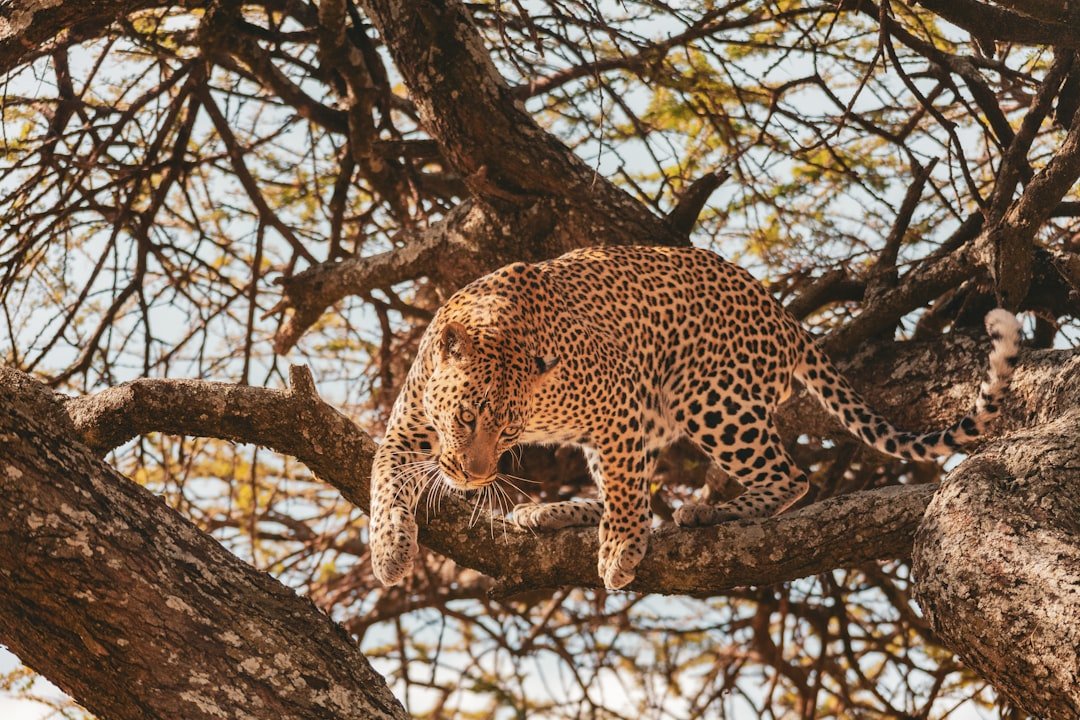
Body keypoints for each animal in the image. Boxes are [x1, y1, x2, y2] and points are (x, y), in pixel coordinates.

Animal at [368, 245, 1021, 590]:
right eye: (467, 416)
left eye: (506, 430)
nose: (476, 476)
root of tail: (783, 314)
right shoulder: (403, 433)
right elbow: (381, 482)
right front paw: (390, 551)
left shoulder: (618, 403)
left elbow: (629, 494)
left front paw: (621, 550)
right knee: (634, 486)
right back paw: (550, 513)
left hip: (708, 396)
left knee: (788, 477)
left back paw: (708, 512)